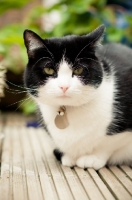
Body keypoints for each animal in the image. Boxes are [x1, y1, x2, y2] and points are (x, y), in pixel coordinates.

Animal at [23, 24, 132, 170]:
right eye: (49, 70)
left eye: (79, 70)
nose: (64, 86)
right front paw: (69, 156)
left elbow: (109, 143)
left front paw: (92, 158)